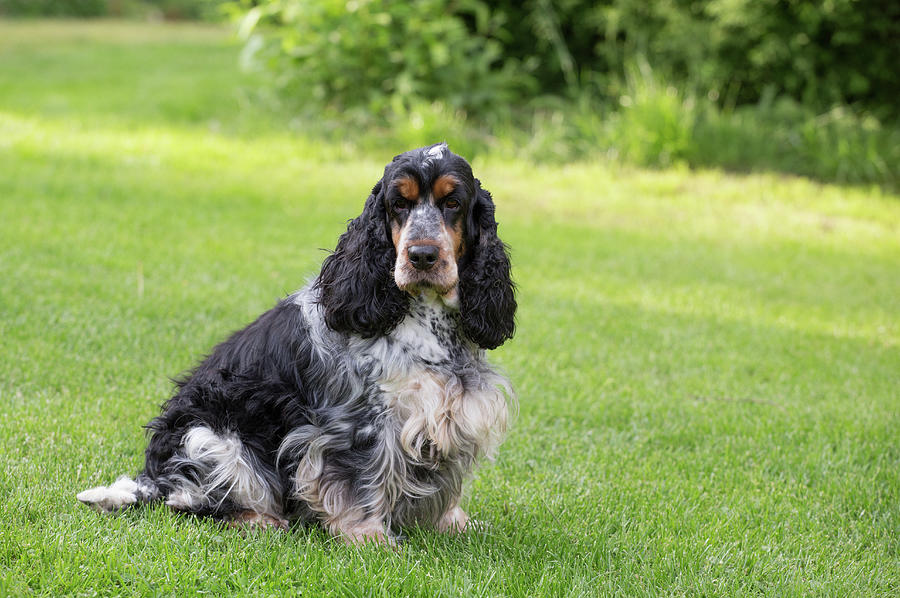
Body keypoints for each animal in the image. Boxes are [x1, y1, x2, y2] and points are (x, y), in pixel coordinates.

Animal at [81, 143, 516, 548]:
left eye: (452, 202)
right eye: (398, 204)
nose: (422, 255)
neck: (427, 320)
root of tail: (152, 478)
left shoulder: (449, 415)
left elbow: (448, 486)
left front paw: (455, 524)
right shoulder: (358, 423)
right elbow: (361, 481)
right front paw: (370, 539)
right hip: (210, 439)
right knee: (189, 501)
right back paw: (259, 520)